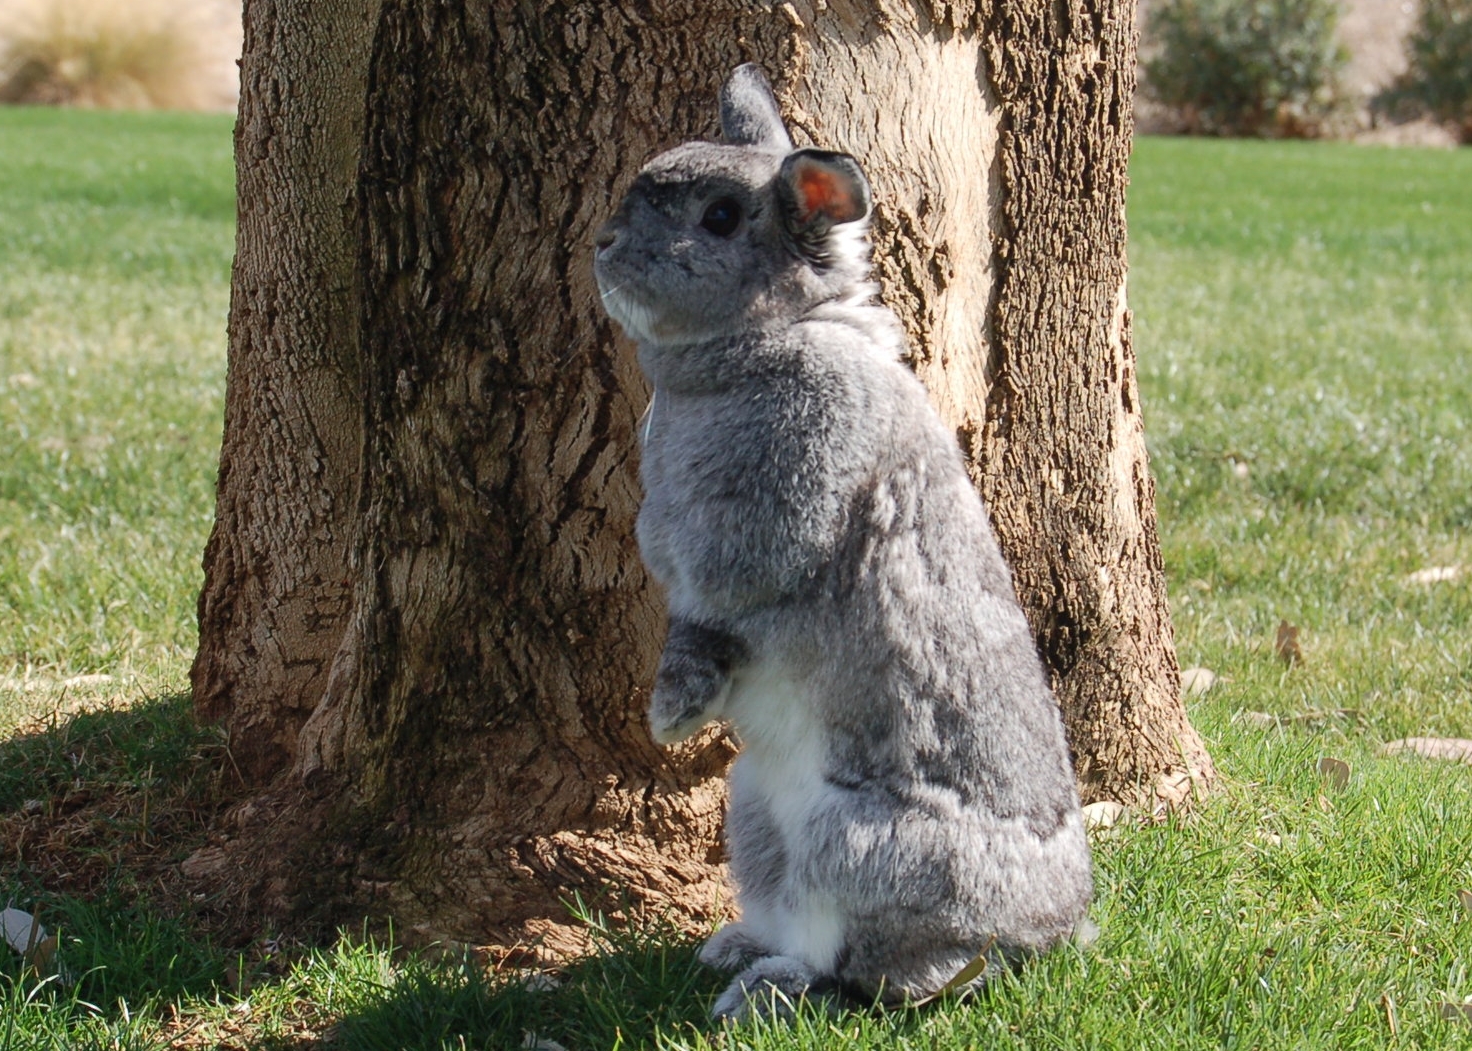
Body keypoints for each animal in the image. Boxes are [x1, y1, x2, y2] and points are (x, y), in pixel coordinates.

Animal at [592, 63, 1095, 1023]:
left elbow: (704, 627)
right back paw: (737, 951)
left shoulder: (752, 548)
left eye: (720, 216)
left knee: (886, 967)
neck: (772, 338)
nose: (602, 246)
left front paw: (668, 716)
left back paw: (764, 992)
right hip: (756, 810)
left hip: (865, 843)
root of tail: (1057, 923)